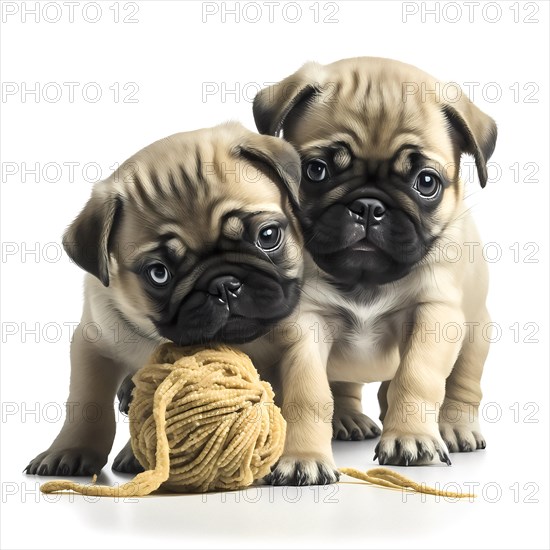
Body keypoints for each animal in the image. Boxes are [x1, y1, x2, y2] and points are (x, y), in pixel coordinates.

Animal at [25, 123, 304, 476]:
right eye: (159, 273)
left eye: (267, 236)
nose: (223, 285)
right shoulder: (94, 343)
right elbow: (86, 404)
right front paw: (71, 450)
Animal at [252, 58, 502, 486]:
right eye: (316, 171)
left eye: (426, 182)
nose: (369, 206)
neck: (365, 280)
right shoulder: (305, 323)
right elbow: (309, 393)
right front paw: (302, 456)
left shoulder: (434, 314)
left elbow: (416, 378)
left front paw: (412, 437)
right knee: (343, 389)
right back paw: (348, 419)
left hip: (475, 335)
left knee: (462, 384)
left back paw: (455, 427)